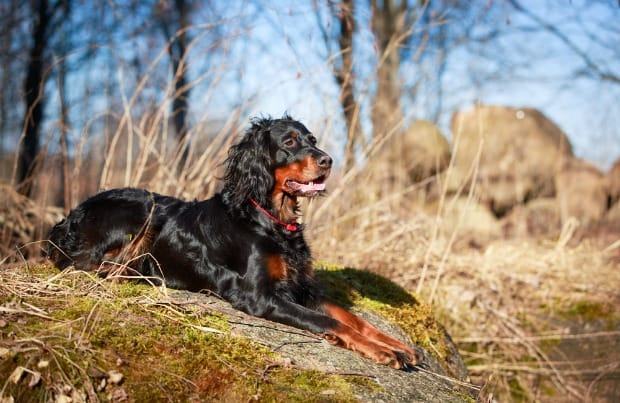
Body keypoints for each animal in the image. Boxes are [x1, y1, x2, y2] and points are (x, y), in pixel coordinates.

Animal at [43, 116, 422, 370]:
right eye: (289, 143)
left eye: (312, 139)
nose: (327, 160)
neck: (270, 219)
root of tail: (70, 216)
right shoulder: (258, 296)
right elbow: (333, 322)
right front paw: (385, 352)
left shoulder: (301, 287)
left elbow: (351, 317)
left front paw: (399, 346)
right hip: (141, 206)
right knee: (84, 263)